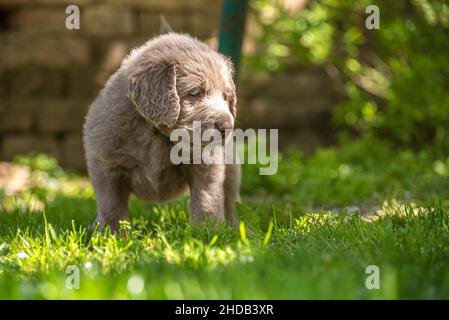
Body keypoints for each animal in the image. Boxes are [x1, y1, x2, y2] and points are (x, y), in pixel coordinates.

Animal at [82, 25, 240, 231]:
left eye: (225, 96)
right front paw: (111, 234)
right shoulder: (106, 166)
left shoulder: (207, 164)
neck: (156, 133)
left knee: (229, 200)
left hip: (232, 168)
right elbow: (111, 206)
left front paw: (206, 231)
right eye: (194, 93)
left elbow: (206, 199)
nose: (227, 126)